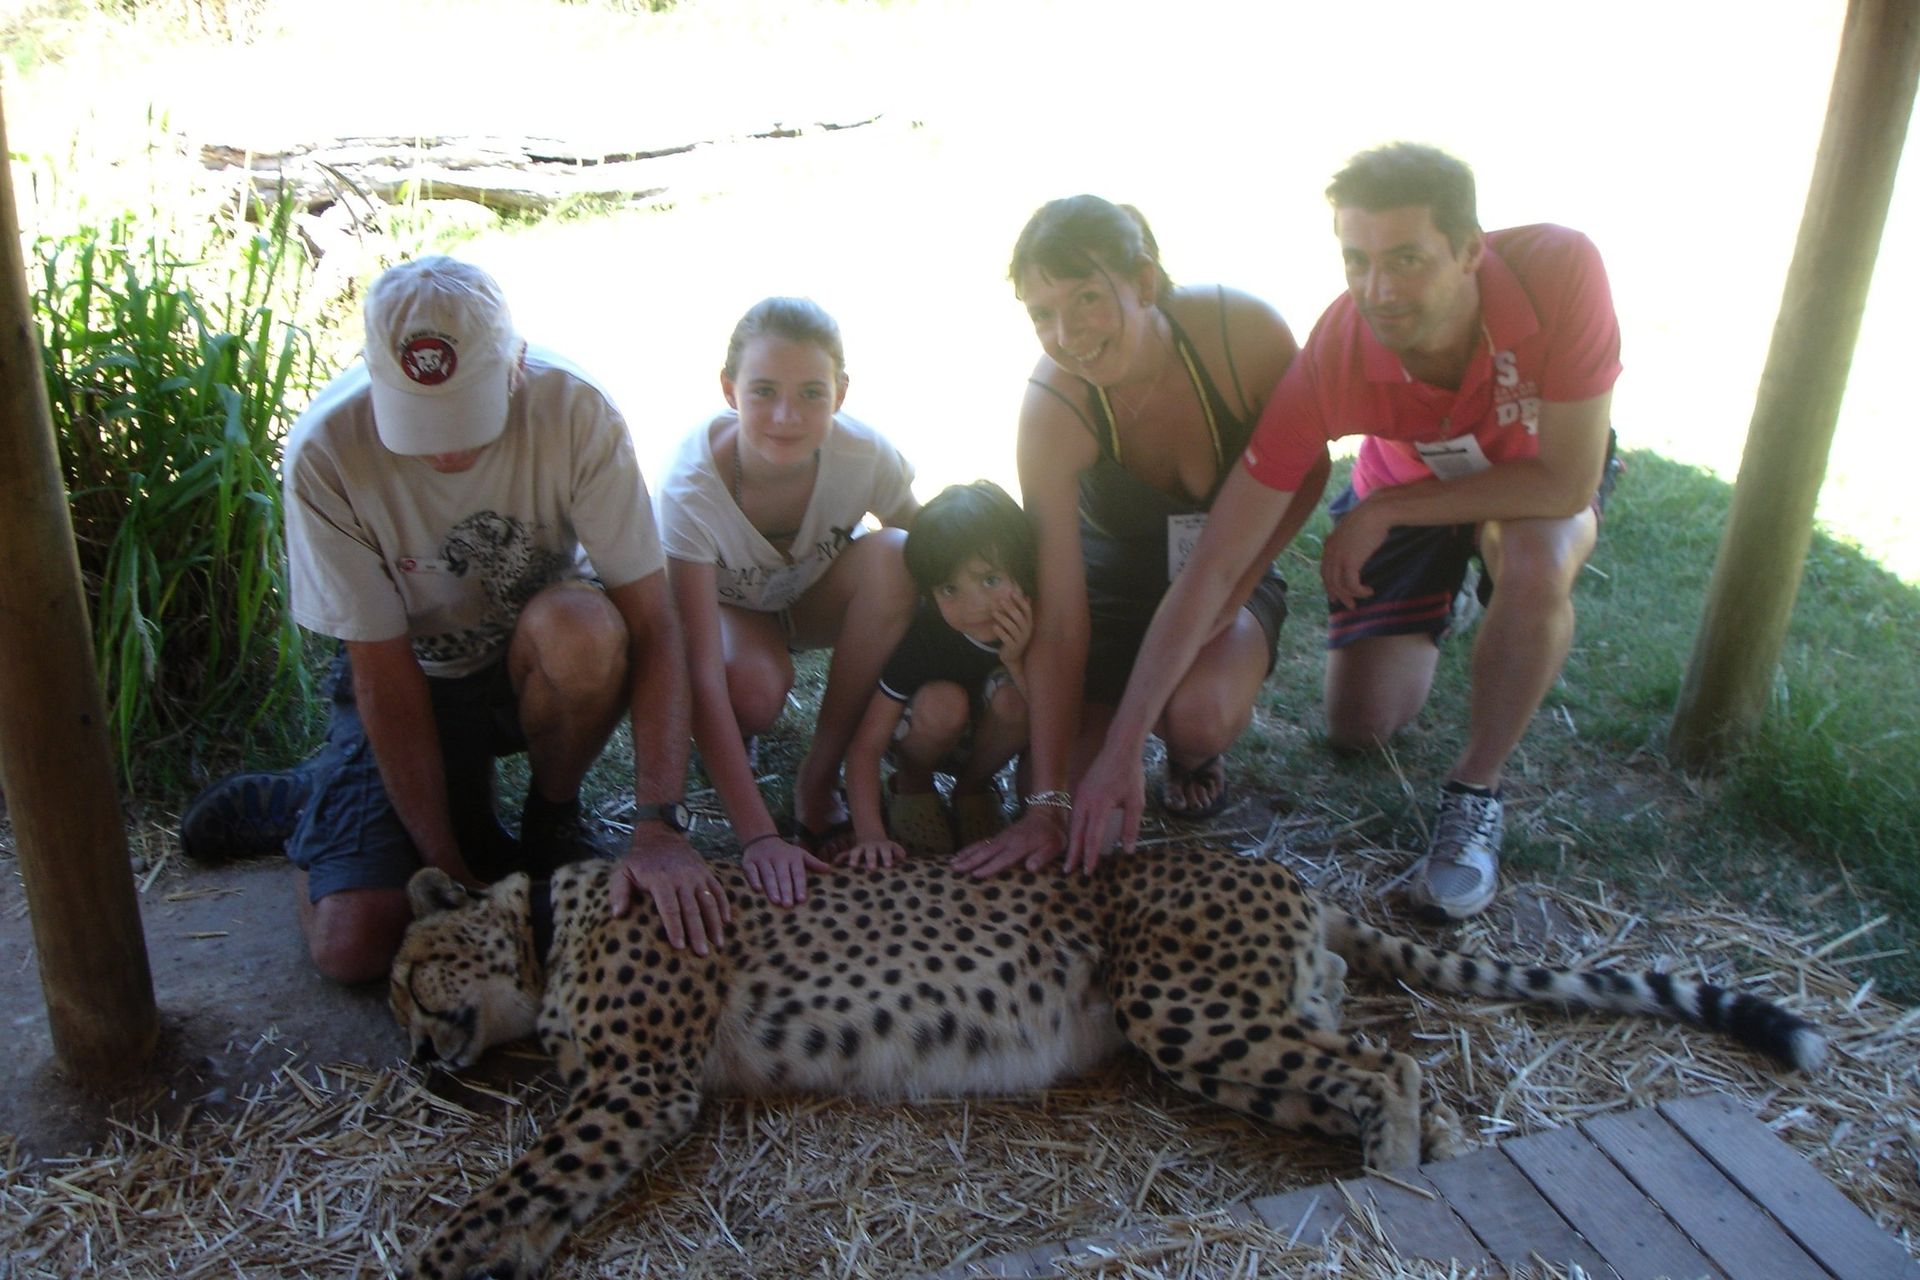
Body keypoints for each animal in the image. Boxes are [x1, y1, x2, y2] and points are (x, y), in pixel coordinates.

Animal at [390, 845, 1825, 1280]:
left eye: (404, 973)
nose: (407, 1053)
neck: (542, 923)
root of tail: (1272, 864)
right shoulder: (629, 1086)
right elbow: (545, 1187)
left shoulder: (638, 1082)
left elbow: (516, 1183)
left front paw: (449, 1253)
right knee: (1391, 1063)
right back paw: (1446, 1159)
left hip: (1186, 1007)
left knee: (1387, 1066)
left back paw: (1389, 1177)